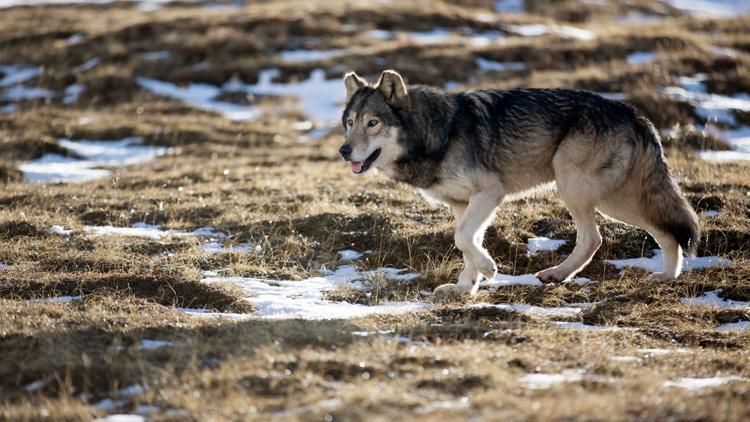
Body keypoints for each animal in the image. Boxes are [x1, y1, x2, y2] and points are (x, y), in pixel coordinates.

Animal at [338, 69, 704, 296]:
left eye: (373, 123)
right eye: (350, 122)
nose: (344, 150)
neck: (434, 134)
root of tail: (634, 113)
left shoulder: (490, 193)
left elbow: (463, 239)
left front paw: (489, 269)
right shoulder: (462, 204)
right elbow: (467, 243)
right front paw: (465, 287)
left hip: (584, 191)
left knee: (600, 238)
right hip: (607, 197)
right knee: (656, 232)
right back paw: (665, 277)